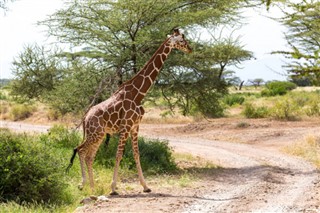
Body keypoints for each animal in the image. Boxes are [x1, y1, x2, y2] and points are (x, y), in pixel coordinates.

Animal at [66, 29, 191, 196]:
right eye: (182, 40)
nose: (190, 49)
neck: (138, 94)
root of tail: (85, 117)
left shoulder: (135, 126)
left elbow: (136, 154)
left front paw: (145, 186)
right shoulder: (125, 127)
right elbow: (119, 155)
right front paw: (113, 188)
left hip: (98, 134)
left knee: (89, 156)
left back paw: (92, 187)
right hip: (95, 133)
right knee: (80, 150)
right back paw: (84, 184)